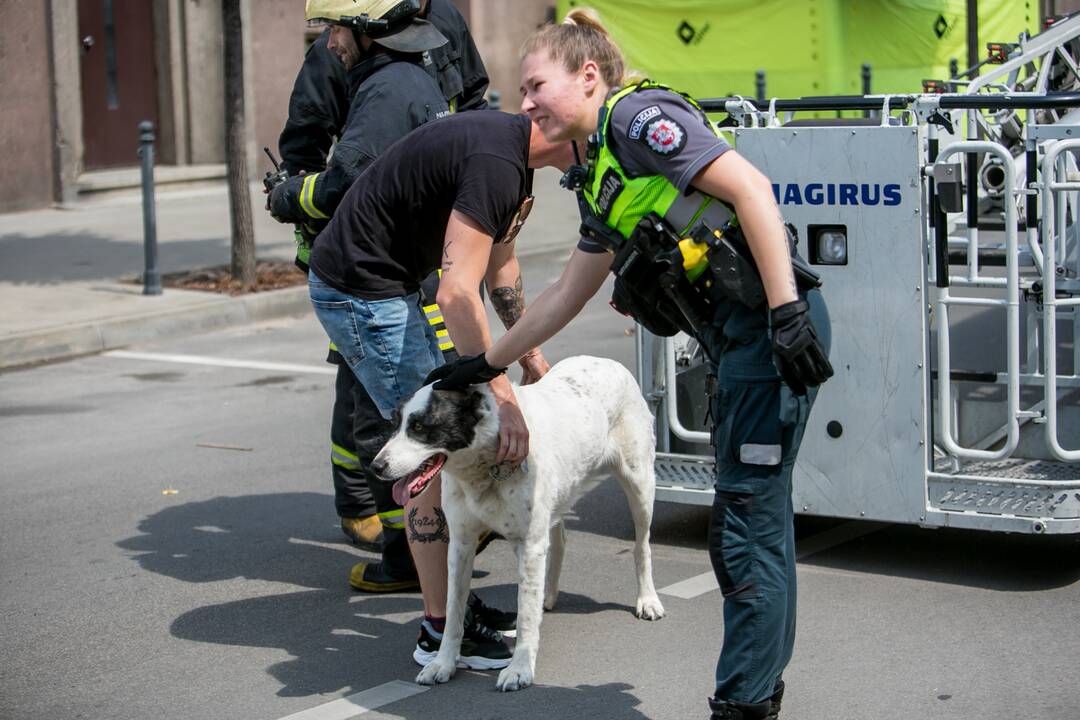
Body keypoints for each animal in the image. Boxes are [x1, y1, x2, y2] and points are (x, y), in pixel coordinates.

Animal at [371, 354, 660, 690]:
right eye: (394, 425)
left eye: (420, 427)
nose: (376, 466)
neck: (486, 460)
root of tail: (605, 361)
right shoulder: (460, 544)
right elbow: (454, 610)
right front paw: (444, 663)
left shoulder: (529, 544)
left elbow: (526, 615)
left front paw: (520, 668)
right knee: (560, 541)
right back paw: (549, 595)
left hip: (639, 485)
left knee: (642, 546)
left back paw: (648, 599)